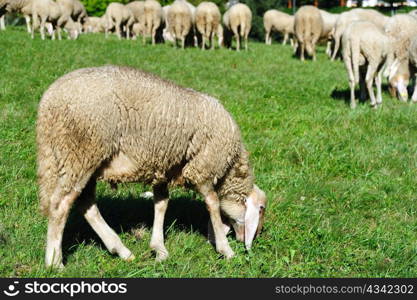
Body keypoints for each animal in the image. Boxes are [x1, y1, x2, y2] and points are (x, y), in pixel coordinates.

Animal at [36, 65, 266, 268]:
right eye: (261, 210)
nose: (251, 239)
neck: (230, 168)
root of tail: (48, 103)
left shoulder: (164, 167)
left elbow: (161, 203)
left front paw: (159, 249)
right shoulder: (203, 167)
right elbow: (213, 204)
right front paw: (225, 249)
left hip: (83, 159)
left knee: (87, 205)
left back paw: (121, 250)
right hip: (80, 152)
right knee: (60, 205)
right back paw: (55, 263)